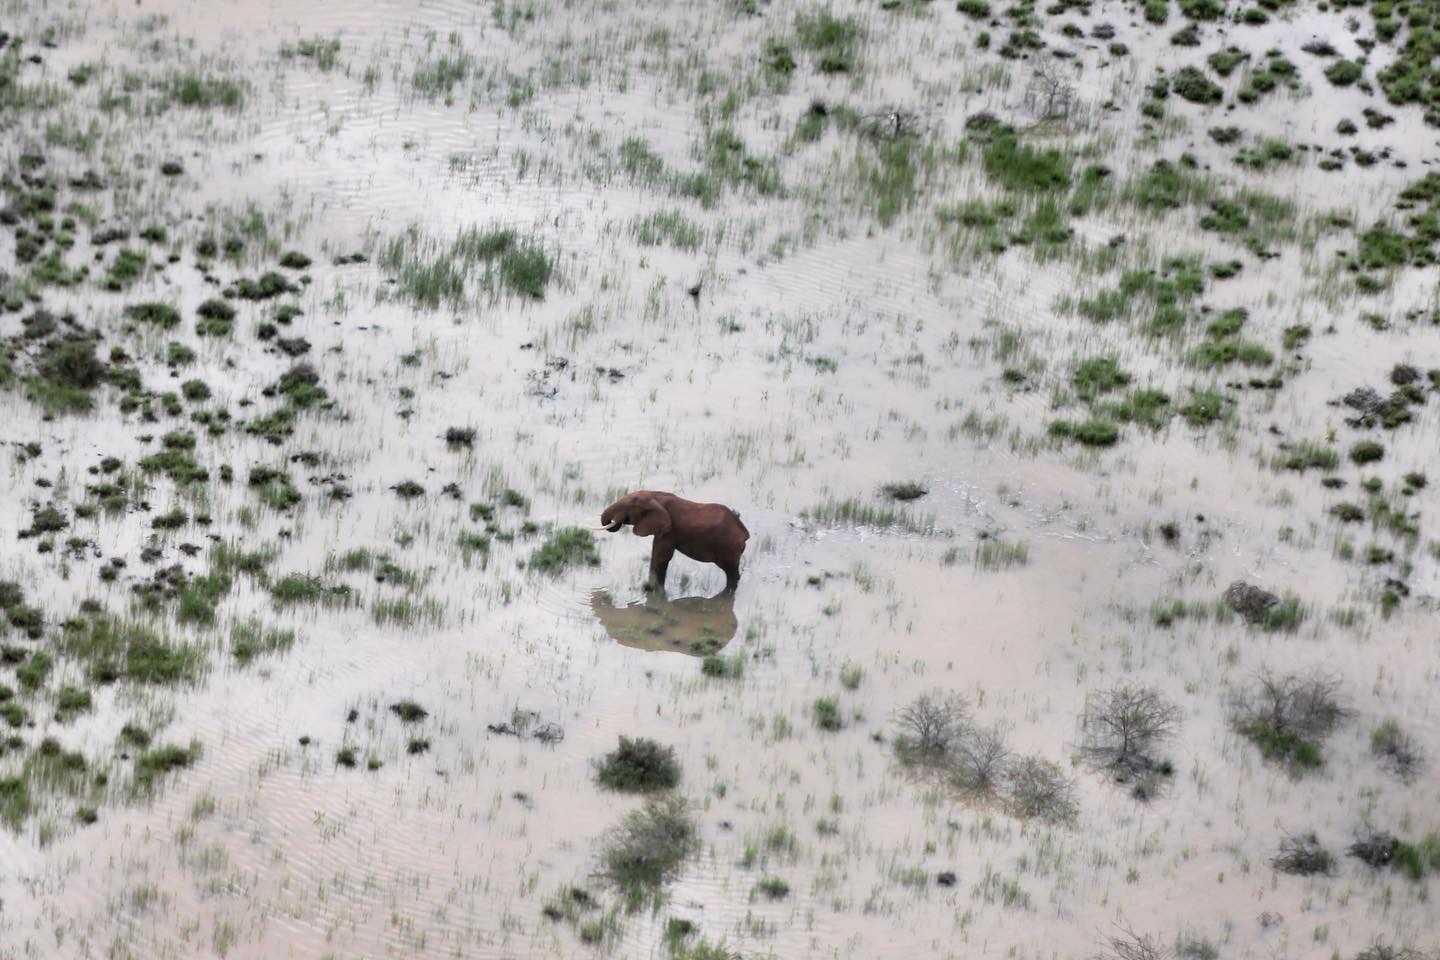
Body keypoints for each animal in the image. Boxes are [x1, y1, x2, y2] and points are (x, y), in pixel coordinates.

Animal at [599, 490, 749, 592]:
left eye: (630, 506)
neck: (654, 495)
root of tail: (745, 533)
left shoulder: (669, 532)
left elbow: (660, 558)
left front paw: (651, 590)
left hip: (729, 546)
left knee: (730, 571)